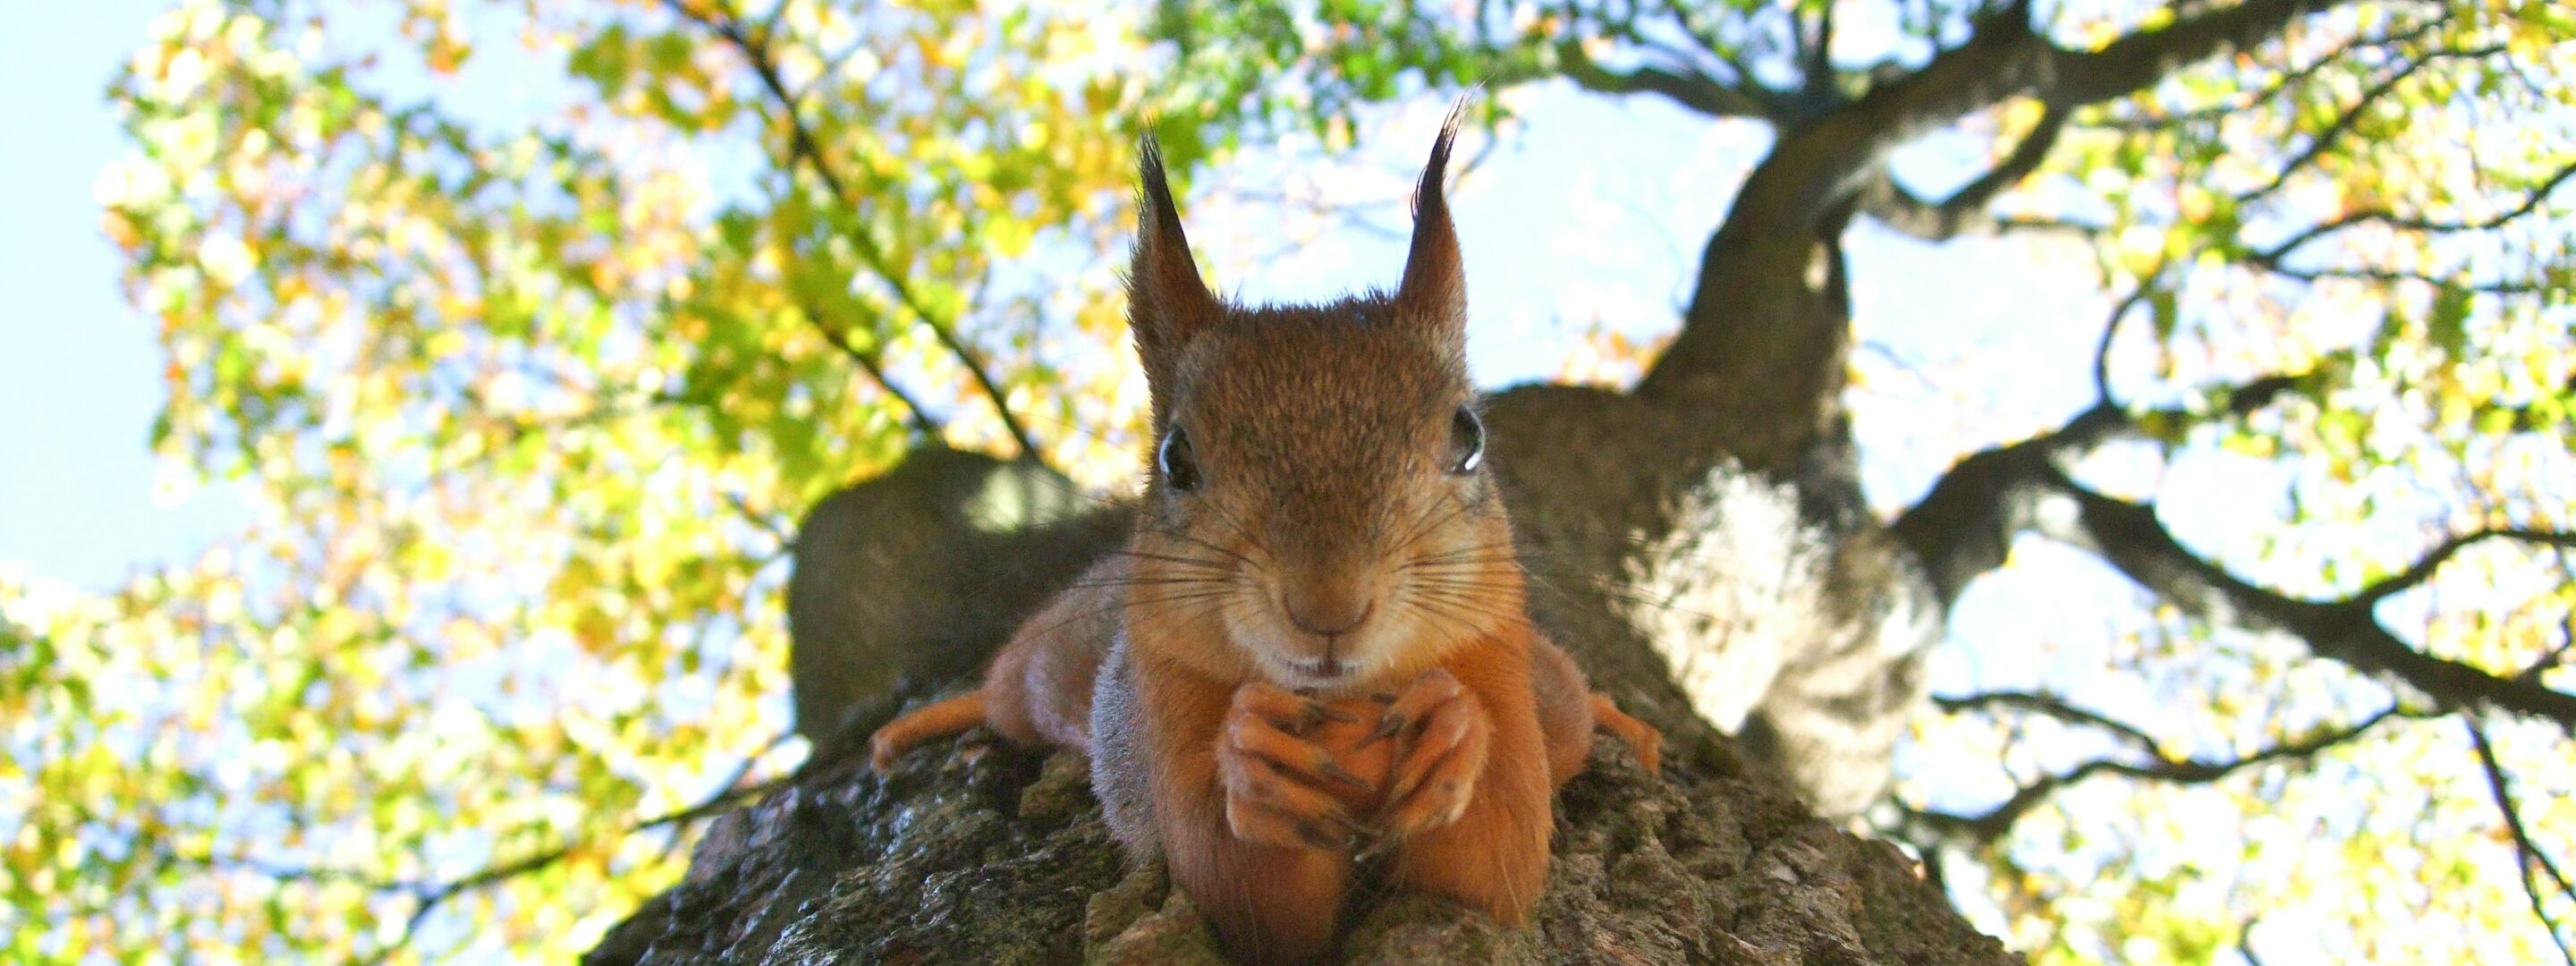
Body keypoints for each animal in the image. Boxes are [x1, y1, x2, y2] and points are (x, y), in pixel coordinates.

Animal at [865, 107, 1662, 966]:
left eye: (1469, 436)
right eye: (1175, 458)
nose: (1328, 608)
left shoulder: (1497, 664)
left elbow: (1495, 864)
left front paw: (1454, 729)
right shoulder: (1165, 705)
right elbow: (1244, 892)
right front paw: (1253, 759)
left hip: (1551, 694)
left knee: (1575, 708)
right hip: (1048, 670)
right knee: (1002, 692)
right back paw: (925, 723)